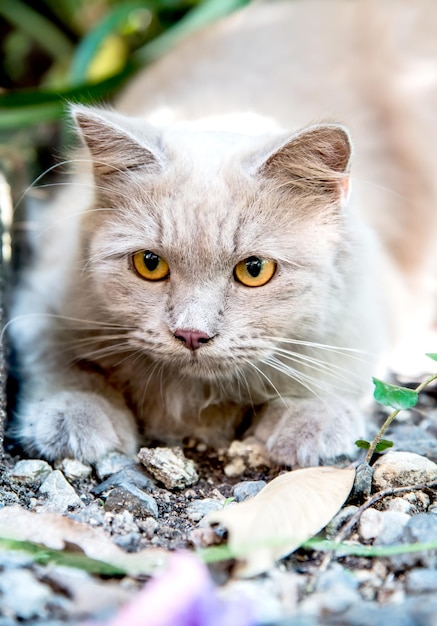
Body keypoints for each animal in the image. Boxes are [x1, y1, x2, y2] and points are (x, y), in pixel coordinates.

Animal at [8, 0, 436, 464]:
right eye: (149, 264)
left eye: (255, 270)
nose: (191, 335)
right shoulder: (43, 295)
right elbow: (63, 363)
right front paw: (77, 417)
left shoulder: (372, 306)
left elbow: (333, 370)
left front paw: (308, 426)